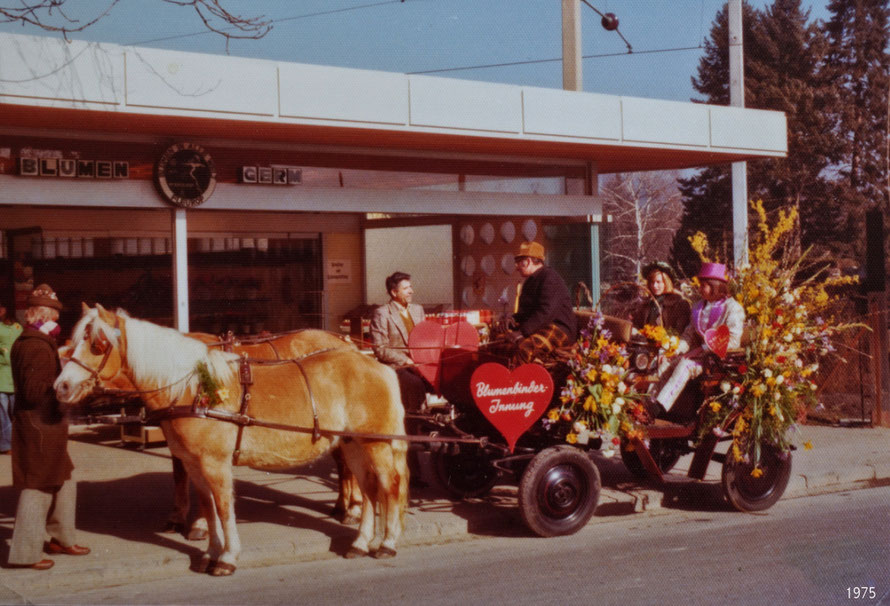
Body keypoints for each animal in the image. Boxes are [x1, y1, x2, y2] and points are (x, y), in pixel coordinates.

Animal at [57, 306, 412, 576]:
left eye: (98, 344)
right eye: (73, 342)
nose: (61, 386)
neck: (193, 386)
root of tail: (373, 361)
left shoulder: (215, 463)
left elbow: (225, 507)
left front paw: (227, 558)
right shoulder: (194, 463)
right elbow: (208, 506)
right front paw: (209, 551)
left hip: (376, 444)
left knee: (390, 485)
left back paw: (387, 543)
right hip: (355, 444)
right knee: (369, 490)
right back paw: (359, 542)